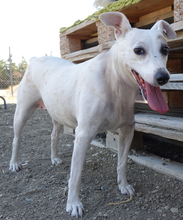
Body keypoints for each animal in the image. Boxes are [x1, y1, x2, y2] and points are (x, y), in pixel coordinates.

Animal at [9, 12, 176, 218]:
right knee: (16, 139)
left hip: (57, 114)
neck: (115, 83)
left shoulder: (127, 131)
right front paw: (73, 203)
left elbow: (122, 163)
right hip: (22, 113)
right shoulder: (82, 136)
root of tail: (34, 59)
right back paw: (14, 163)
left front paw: (123, 185)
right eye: (138, 50)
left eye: (165, 49)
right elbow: (75, 175)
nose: (163, 77)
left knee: (54, 136)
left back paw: (54, 158)